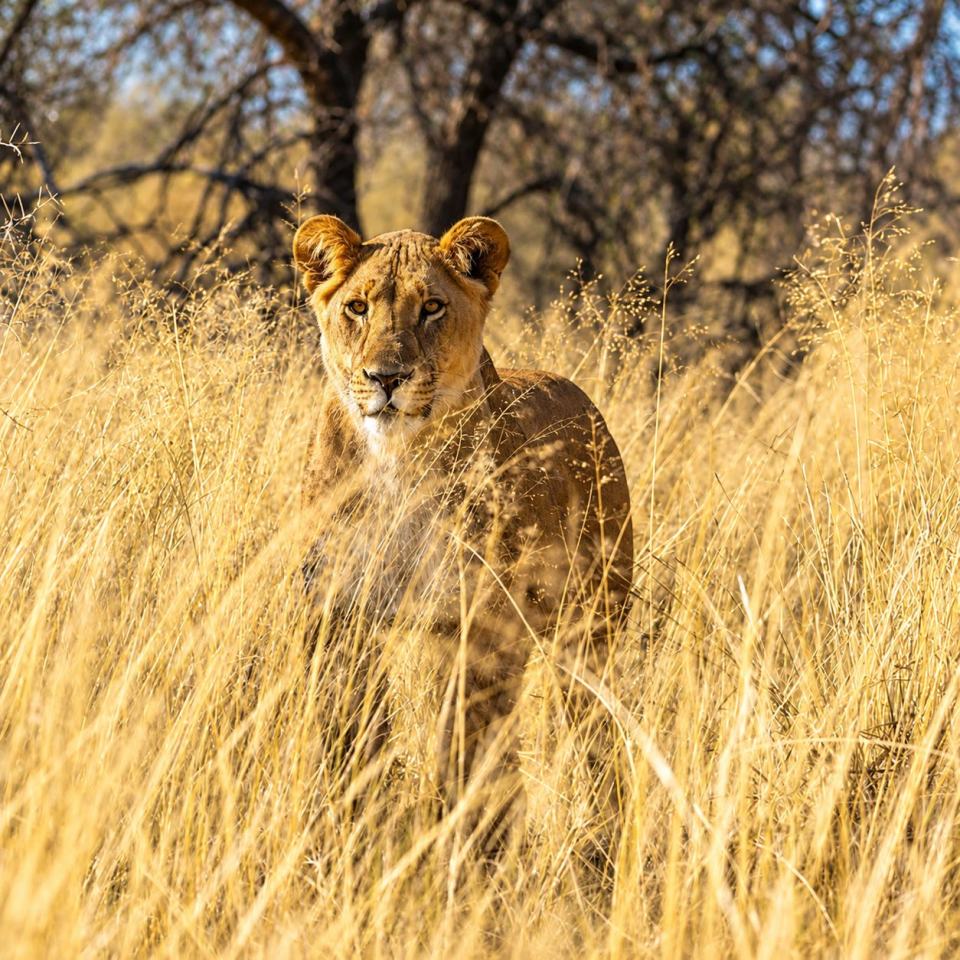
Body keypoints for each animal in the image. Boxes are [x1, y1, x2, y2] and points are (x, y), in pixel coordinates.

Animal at [293, 214, 633, 814]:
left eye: (431, 307)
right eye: (357, 307)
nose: (386, 377)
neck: (398, 462)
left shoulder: (476, 628)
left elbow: (465, 750)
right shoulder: (336, 614)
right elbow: (350, 733)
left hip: (593, 629)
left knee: (594, 732)